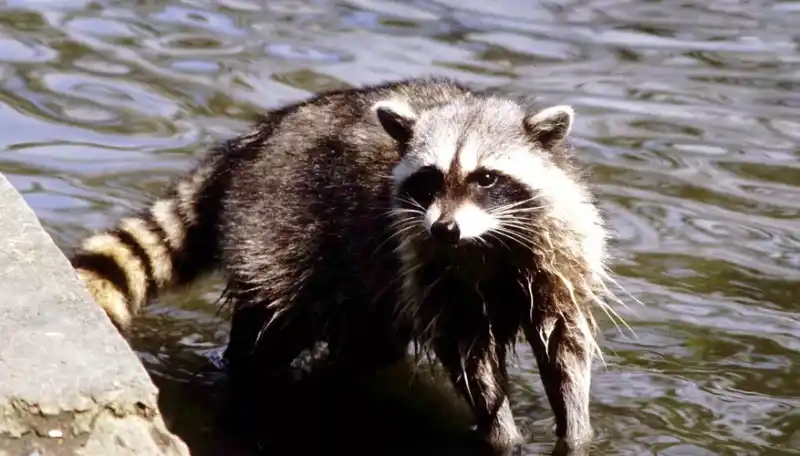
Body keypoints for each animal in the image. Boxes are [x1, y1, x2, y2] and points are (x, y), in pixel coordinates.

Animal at [68, 78, 624, 453]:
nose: (444, 229)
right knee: (270, 327)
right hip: (277, 225)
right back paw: (242, 365)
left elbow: (565, 341)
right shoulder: (426, 258)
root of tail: (255, 141)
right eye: (429, 179)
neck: (485, 237)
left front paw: (575, 427)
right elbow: (470, 354)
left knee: (365, 339)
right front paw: (502, 433)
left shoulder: (561, 249)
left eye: (486, 178)